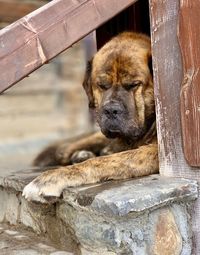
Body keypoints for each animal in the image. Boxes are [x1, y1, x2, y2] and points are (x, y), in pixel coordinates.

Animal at [22, 32, 159, 203]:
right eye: (102, 85)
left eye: (133, 85)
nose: (111, 110)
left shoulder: (155, 151)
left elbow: (103, 162)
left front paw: (50, 179)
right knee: (63, 150)